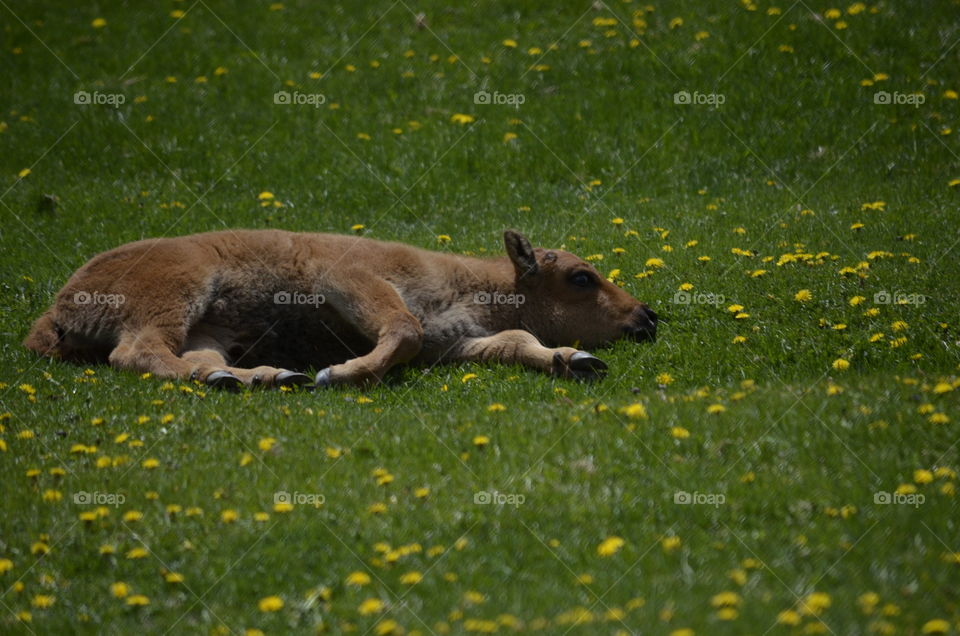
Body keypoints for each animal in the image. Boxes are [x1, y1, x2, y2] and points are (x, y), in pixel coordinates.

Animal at [23, 229, 657, 389]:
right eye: (581, 277)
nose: (645, 317)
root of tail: (58, 306)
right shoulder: (350, 280)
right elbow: (401, 327)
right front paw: (340, 373)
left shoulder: (454, 342)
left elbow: (517, 342)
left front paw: (574, 360)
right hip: (179, 294)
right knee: (138, 351)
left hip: (210, 328)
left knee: (196, 358)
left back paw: (264, 377)